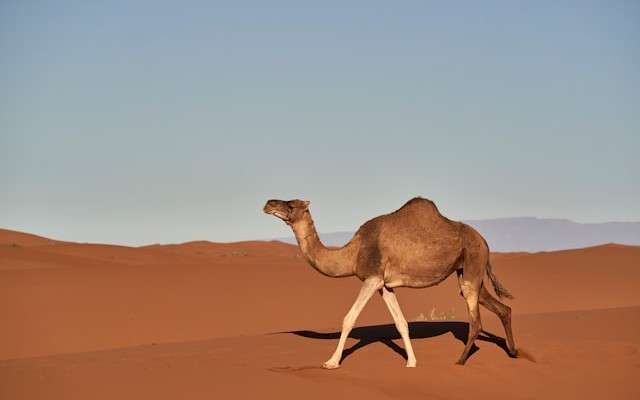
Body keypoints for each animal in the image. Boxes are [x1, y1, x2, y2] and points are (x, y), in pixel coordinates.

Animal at [263, 197, 518, 369]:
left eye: (291, 205)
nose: (268, 203)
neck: (353, 253)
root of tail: (484, 240)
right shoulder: (384, 285)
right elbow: (401, 323)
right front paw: (412, 362)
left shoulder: (372, 278)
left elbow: (349, 319)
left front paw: (331, 362)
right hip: (468, 268)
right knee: (502, 308)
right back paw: (514, 352)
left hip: (473, 261)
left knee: (475, 320)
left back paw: (461, 361)